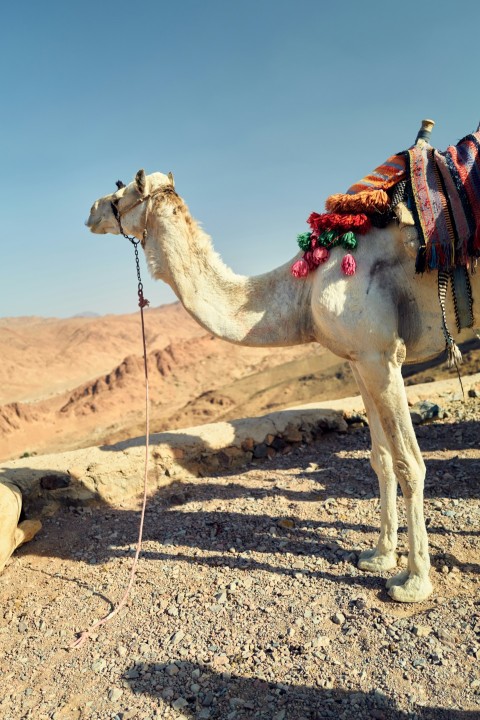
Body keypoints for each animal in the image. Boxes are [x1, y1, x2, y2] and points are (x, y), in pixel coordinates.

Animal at [86, 141, 480, 600]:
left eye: (120, 197)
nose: (90, 210)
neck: (305, 288)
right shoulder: (361, 360)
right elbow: (380, 458)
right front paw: (379, 556)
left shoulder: (382, 355)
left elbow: (408, 464)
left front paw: (413, 581)